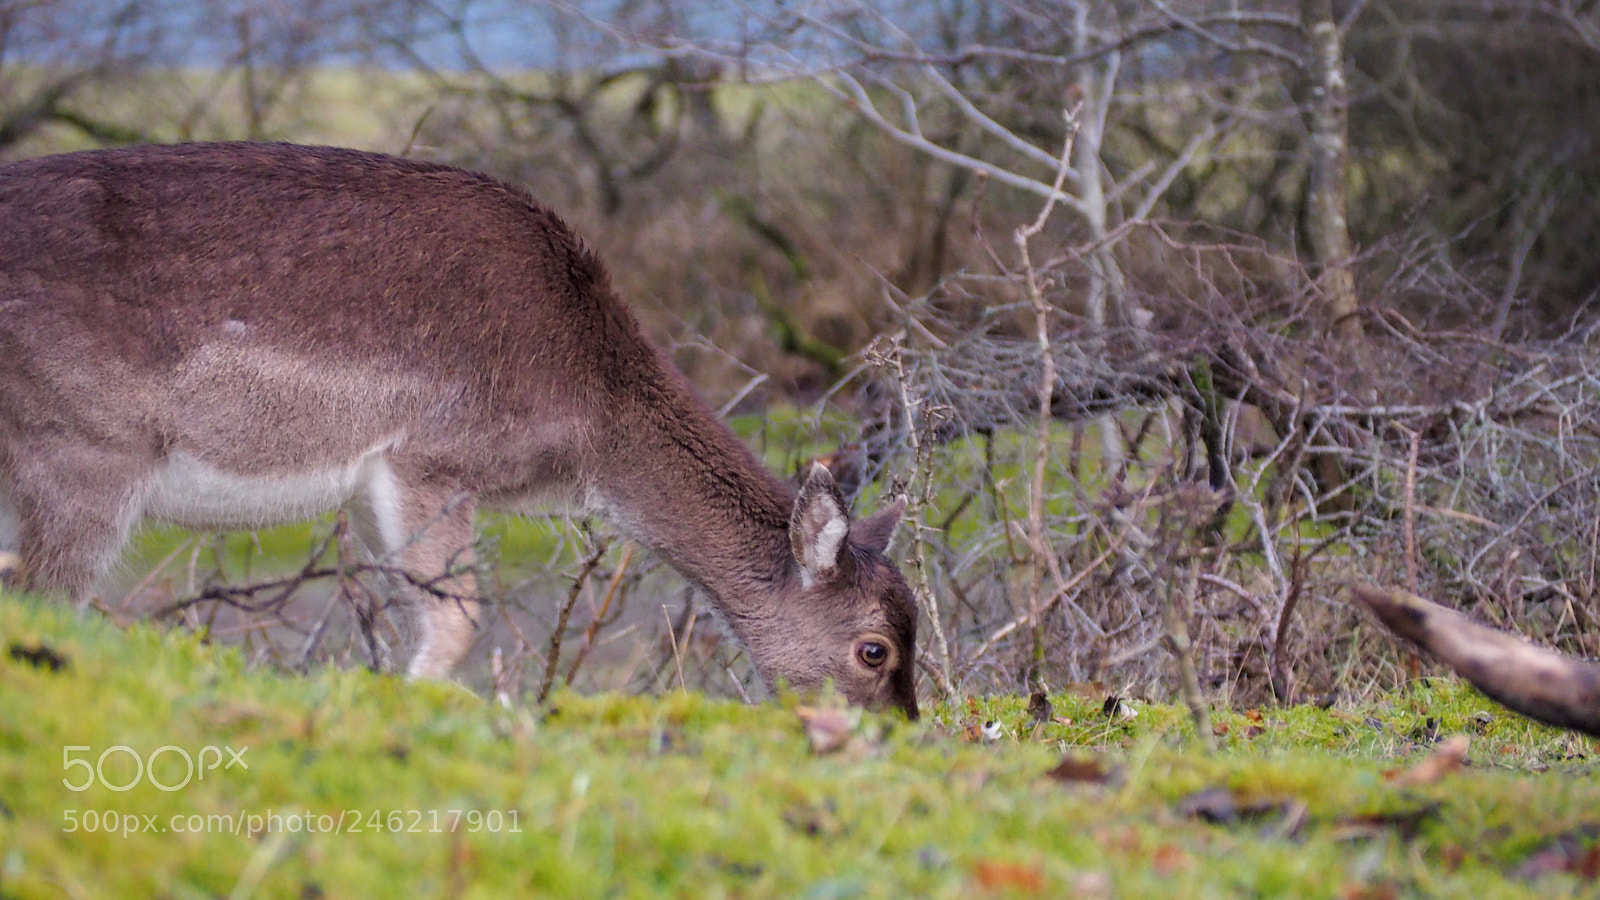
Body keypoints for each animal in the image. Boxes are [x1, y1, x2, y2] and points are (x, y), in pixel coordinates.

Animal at [0, 141, 919, 719]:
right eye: (875, 649)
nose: (896, 735)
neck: (589, 427)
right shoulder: (431, 457)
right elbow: (458, 621)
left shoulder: (378, 488)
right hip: (82, 449)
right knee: (46, 597)